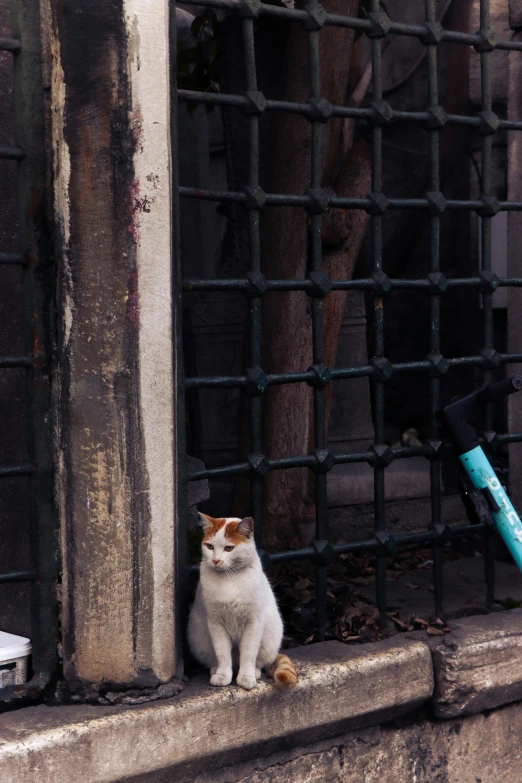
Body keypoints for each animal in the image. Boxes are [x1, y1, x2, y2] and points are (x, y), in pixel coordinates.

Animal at [188, 516, 296, 692]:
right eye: (210, 546)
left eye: (229, 548)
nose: (215, 560)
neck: (229, 579)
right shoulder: (216, 622)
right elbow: (222, 653)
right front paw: (222, 675)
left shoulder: (253, 622)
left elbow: (249, 653)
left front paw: (246, 677)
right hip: (199, 640)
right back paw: (215, 669)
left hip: (270, 639)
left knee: (258, 661)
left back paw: (255, 672)